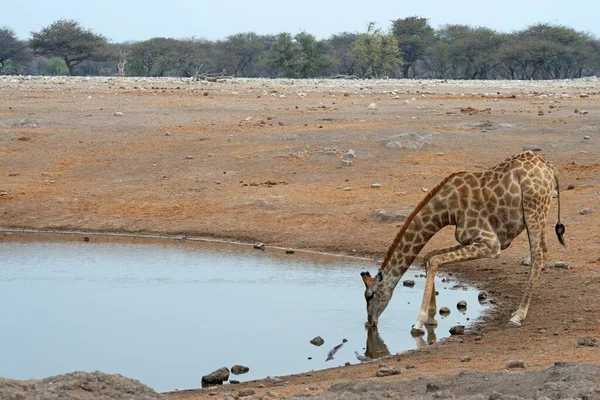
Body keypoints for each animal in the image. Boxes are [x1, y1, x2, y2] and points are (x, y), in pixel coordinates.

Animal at [360, 152, 568, 332]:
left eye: (370, 295)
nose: (369, 323)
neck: (446, 209)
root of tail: (550, 168)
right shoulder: (468, 238)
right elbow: (429, 256)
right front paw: (431, 318)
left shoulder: (491, 244)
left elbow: (435, 260)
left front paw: (419, 322)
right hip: (539, 214)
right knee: (544, 251)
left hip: (534, 211)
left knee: (537, 255)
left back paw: (518, 315)